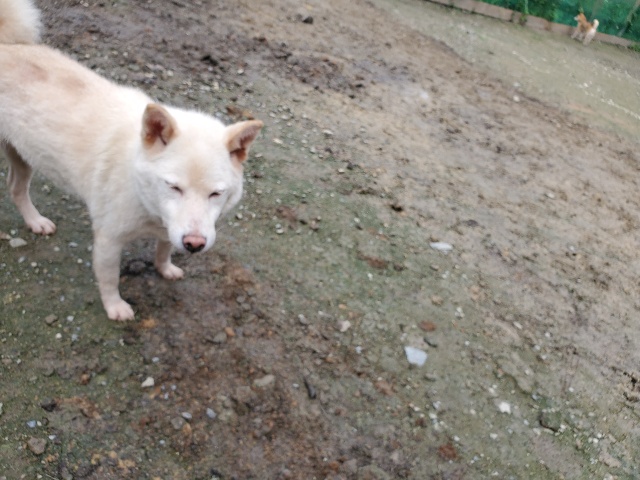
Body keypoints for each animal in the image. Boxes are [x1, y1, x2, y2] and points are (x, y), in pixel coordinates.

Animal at [0, 0, 263, 320]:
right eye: (174, 187)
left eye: (216, 193)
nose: (194, 245)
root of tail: (6, 46)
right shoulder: (108, 239)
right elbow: (109, 278)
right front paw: (115, 308)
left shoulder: (170, 228)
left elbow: (164, 249)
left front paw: (166, 269)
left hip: (21, 154)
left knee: (16, 187)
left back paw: (35, 221)